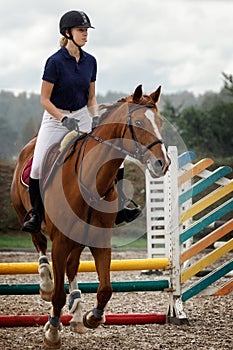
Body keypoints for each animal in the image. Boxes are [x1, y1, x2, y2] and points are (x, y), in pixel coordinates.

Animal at [10, 85, 170, 350]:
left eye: (160, 123)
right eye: (138, 122)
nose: (162, 164)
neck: (90, 181)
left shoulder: (99, 240)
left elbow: (105, 289)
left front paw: (92, 317)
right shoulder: (60, 242)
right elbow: (58, 294)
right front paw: (52, 332)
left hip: (78, 238)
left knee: (72, 267)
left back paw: (76, 311)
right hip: (29, 217)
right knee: (40, 246)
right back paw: (46, 284)